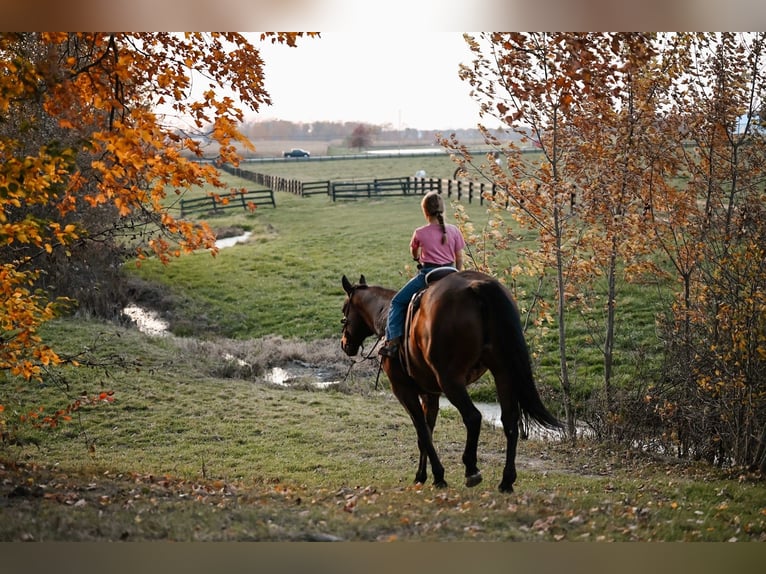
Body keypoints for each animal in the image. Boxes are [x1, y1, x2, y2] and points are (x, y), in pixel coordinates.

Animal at [342, 272, 564, 496]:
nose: (345, 344)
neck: (385, 313)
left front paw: (436, 475)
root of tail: (478, 285)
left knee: (473, 417)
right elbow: (426, 433)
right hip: (503, 373)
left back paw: (471, 469)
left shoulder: (404, 391)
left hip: (450, 380)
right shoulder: (430, 394)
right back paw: (506, 481)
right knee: (509, 422)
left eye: (344, 312)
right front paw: (425, 475)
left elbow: (423, 432)